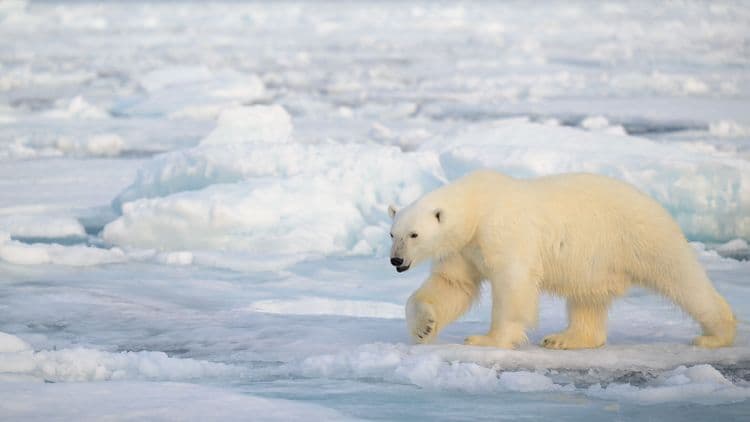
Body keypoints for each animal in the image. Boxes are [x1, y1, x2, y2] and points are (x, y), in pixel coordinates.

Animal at [388, 170, 736, 349]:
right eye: (393, 234)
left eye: (414, 235)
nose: (396, 261)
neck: (477, 205)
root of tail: (656, 204)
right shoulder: (465, 248)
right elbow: (453, 284)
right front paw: (424, 327)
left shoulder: (504, 231)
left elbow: (513, 284)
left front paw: (487, 339)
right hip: (597, 260)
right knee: (588, 298)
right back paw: (565, 339)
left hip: (641, 237)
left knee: (682, 279)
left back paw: (716, 335)